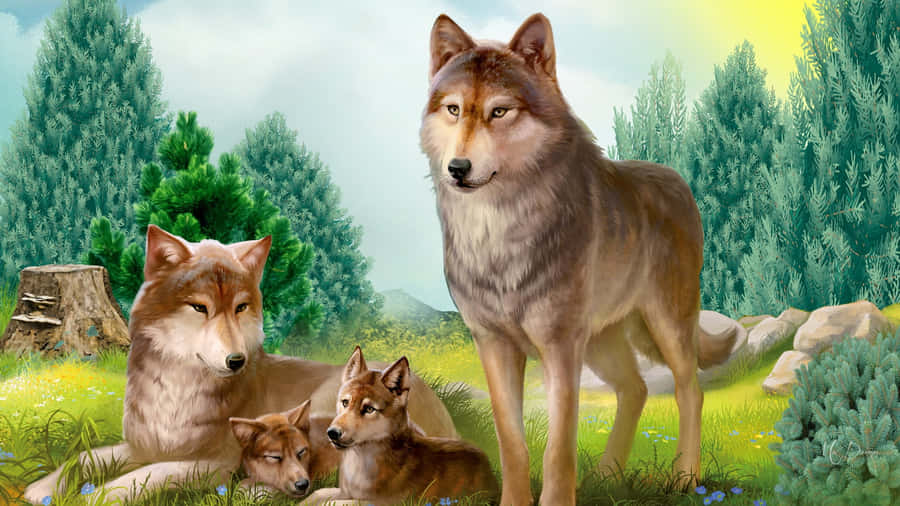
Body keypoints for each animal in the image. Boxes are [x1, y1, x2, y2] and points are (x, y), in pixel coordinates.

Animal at [23, 225, 456, 505]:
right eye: (200, 308)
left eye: (241, 307)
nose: (236, 360)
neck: (176, 390)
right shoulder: (142, 445)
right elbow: (84, 457)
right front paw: (43, 489)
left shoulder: (214, 462)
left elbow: (143, 476)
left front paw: (95, 497)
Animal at [301, 347, 498, 506]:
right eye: (345, 402)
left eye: (369, 409)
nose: (332, 433)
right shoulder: (344, 492)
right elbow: (315, 495)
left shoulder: (380, 502)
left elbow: (330, 503)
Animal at [419, 12, 737, 506]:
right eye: (454, 109)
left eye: (499, 111)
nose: (457, 168)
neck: (499, 234)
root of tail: (677, 180)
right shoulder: (493, 344)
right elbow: (512, 443)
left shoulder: (560, 347)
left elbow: (558, 449)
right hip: (602, 343)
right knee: (636, 389)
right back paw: (606, 476)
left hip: (665, 326)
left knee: (690, 391)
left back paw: (685, 477)